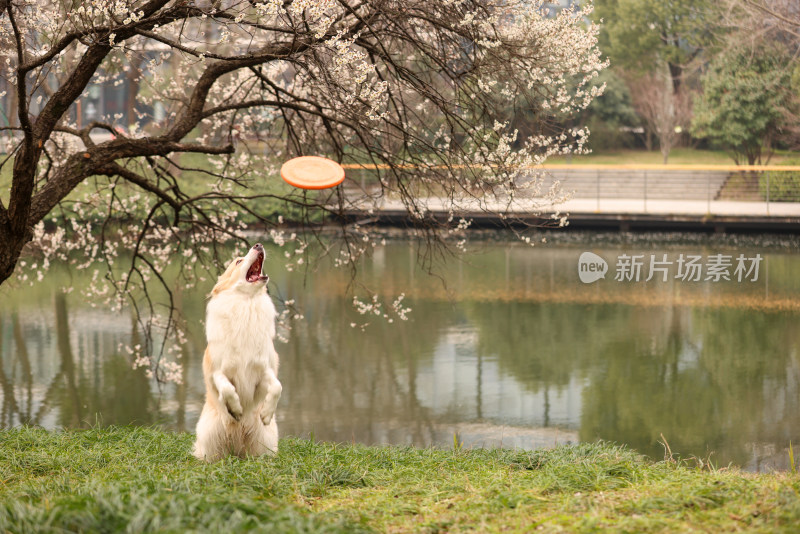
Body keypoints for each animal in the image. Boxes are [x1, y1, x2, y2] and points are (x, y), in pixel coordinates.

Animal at [193, 245, 282, 462]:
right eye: (238, 261)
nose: (258, 245)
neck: (247, 303)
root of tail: (238, 450)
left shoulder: (263, 372)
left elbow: (277, 386)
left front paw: (267, 413)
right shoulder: (218, 372)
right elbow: (226, 388)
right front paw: (235, 410)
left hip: (265, 439)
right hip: (209, 433)